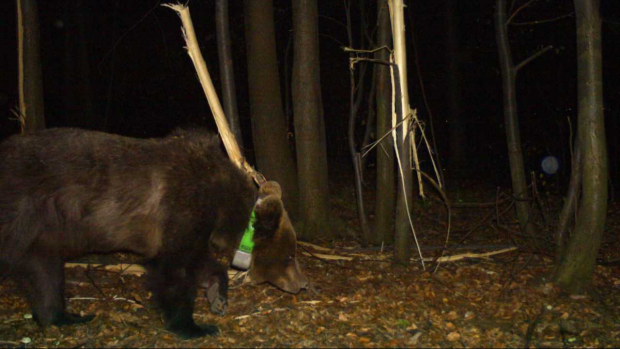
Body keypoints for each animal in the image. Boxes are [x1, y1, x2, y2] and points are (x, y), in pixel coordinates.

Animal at [0, 127, 308, 338]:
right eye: (290, 256)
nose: (301, 284)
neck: (223, 205)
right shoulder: (182, 206)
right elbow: (174, 268)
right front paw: (192, 326)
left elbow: (199, 261)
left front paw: (217, 297)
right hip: (21, 211)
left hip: (42, 229)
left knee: (45, 271)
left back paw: (66, 316)